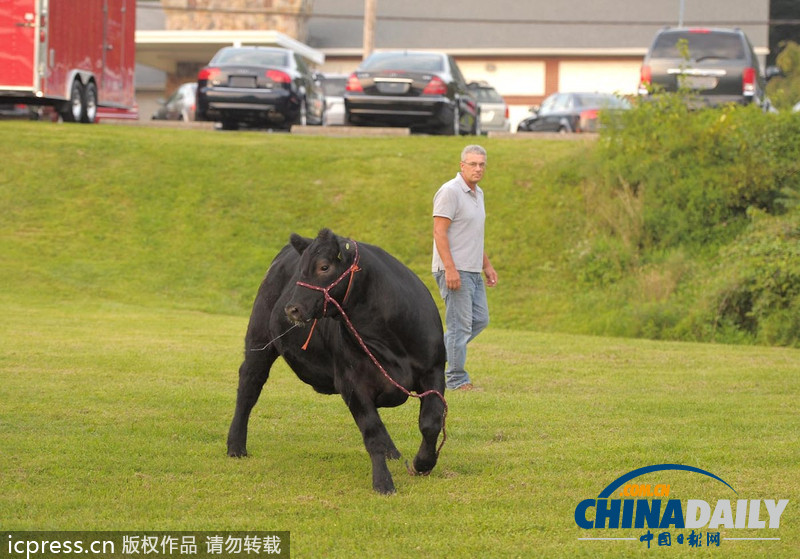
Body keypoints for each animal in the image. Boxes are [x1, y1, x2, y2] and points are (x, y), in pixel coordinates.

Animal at [228, 228, 446, 494]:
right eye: (301, 269)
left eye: (324, 266)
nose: (291, 309)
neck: (388, 337)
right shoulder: (351, 382)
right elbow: (371, 430)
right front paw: (383, 482)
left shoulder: (434, 370)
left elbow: (431, 422)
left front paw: (423, 463)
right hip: (259, 339)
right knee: (249, 387)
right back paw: (235, 446)